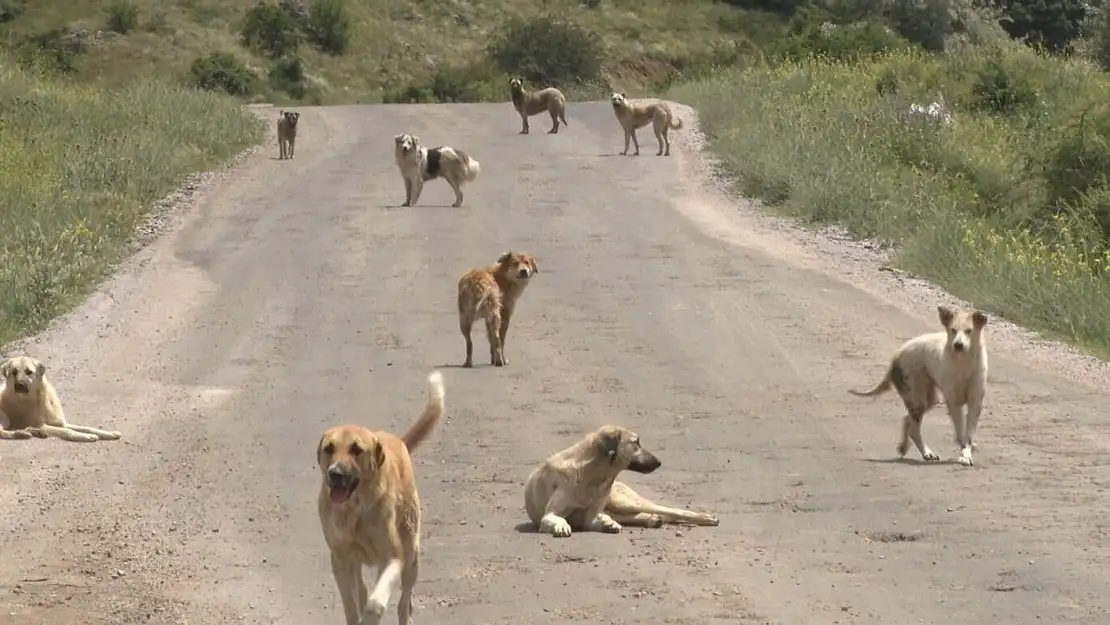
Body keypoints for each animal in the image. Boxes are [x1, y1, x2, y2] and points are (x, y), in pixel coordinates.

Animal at [317, 370, 446, 625]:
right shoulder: (340, 559)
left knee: (404, 603)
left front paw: (370, 616)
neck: (355, 510)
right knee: (362, 588)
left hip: (411, 556)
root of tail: (399, 441)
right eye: (329, 448)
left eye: (357, 449)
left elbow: (376, 602)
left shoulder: (393, 558)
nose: (335, 474)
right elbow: (351, 602)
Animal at [526, 426, 723, 537]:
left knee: (670, 511)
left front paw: (607, 524)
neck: (592, 476)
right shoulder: (551, 514)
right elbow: (556, 518)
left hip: (624, 501)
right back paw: (649, 520)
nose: (659, 462)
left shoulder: (591, 515)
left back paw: (705, 518)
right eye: (636, 443)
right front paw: (561, 525)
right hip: (621, 506)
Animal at [848, 306, 990, 466]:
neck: (964, 362)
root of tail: (897, 355)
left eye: (968, 331)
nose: (958, 345)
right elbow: (961, 434)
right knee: (914, 430)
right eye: (953, 330)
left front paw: (967, 453)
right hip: (918, 399)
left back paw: (904, 447)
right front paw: (964, 454)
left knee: (907, 419)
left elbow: (968, 435)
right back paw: (927, 453)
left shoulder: (975, 403)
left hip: (929, 400)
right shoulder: (953, 403)